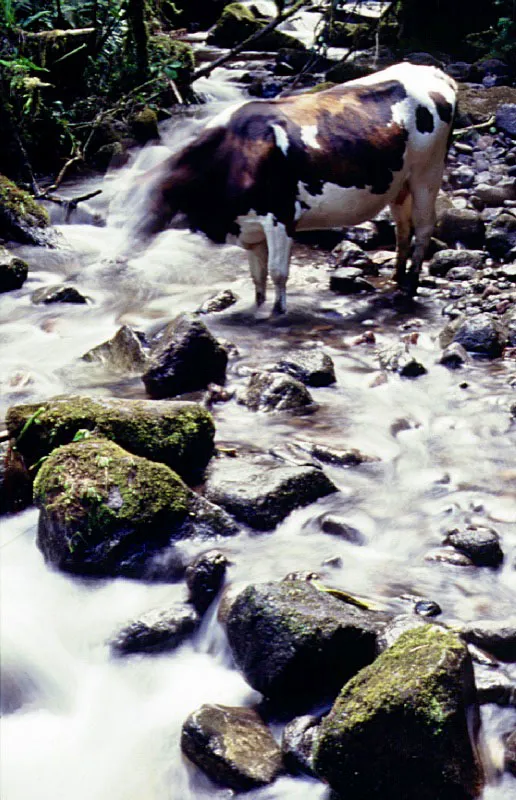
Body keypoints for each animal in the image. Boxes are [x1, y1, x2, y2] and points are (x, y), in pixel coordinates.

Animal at [137, 63, 456, 312]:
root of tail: (435, 72)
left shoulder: (280, 216)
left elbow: (277, 273)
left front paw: (276, 314)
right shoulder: (250, 229)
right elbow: (258, 277)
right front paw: (257, 309)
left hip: (428, 171)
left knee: (424, 225)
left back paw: (411, 284)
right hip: (398, 183)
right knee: (403, 228)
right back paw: (396, 277)